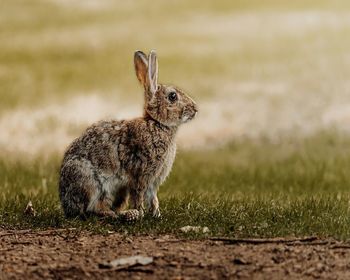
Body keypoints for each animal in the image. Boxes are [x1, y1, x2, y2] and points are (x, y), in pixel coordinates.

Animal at [58, 50, 198, 221]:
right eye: (172, 96)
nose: (195, 109)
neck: (156, 124)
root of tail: (66, 205)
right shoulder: (140, 174)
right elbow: (139, 195)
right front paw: (141, 213)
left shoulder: (153, 181)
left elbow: (153, 197)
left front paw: (157, 214)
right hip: (88, 181)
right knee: (90, 210)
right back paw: (119, 214)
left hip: (119, 193)